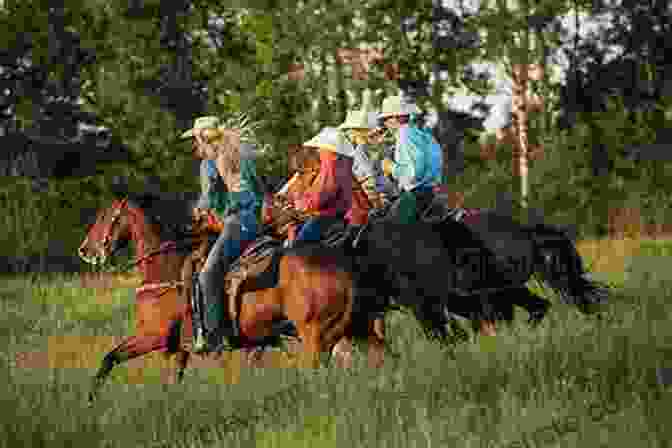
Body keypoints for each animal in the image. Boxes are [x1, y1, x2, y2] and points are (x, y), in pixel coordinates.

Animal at [77, 194, 388, 404]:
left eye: (104, 217)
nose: (84, 250)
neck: (164, 268)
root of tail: (342, 265)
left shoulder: (153, 336)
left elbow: (109, 358)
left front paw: (90, 400)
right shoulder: (179, 348)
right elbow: (172, 379)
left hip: (316, 336)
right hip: (355, 328)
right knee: (382, 355)